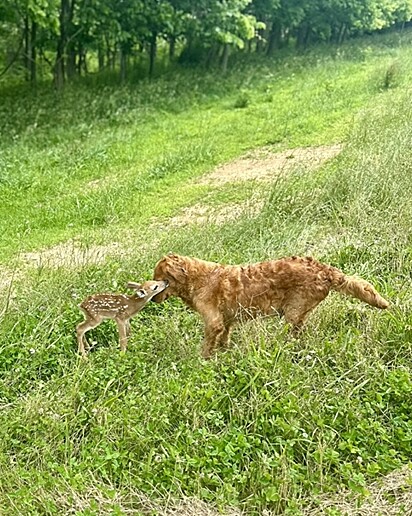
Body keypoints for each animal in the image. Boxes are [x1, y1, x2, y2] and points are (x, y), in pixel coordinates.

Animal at [152, 254, 390, 358]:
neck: (198, 278)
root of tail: (325, 270)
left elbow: (207, 344)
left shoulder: (213, 322)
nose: (152, 299)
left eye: (158, 279)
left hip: (293, 311)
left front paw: (203, 360)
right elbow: (225, 336)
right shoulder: (226, 319)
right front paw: (224, 349)